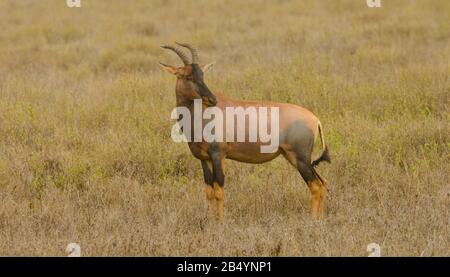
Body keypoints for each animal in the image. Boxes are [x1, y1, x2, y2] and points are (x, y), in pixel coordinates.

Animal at [160, 42, 328, 220]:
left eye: (202, 75)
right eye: (188, 76)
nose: (212, 100)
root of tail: (315, 119)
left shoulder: (218, 155)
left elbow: (218, 190)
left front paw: (220, 222)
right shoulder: (204, 159)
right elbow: (209, 191)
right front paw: (211, 220)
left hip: (301, 159)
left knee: (315, 185)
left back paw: (313, 220)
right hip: (294, 158)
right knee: (322, 183)